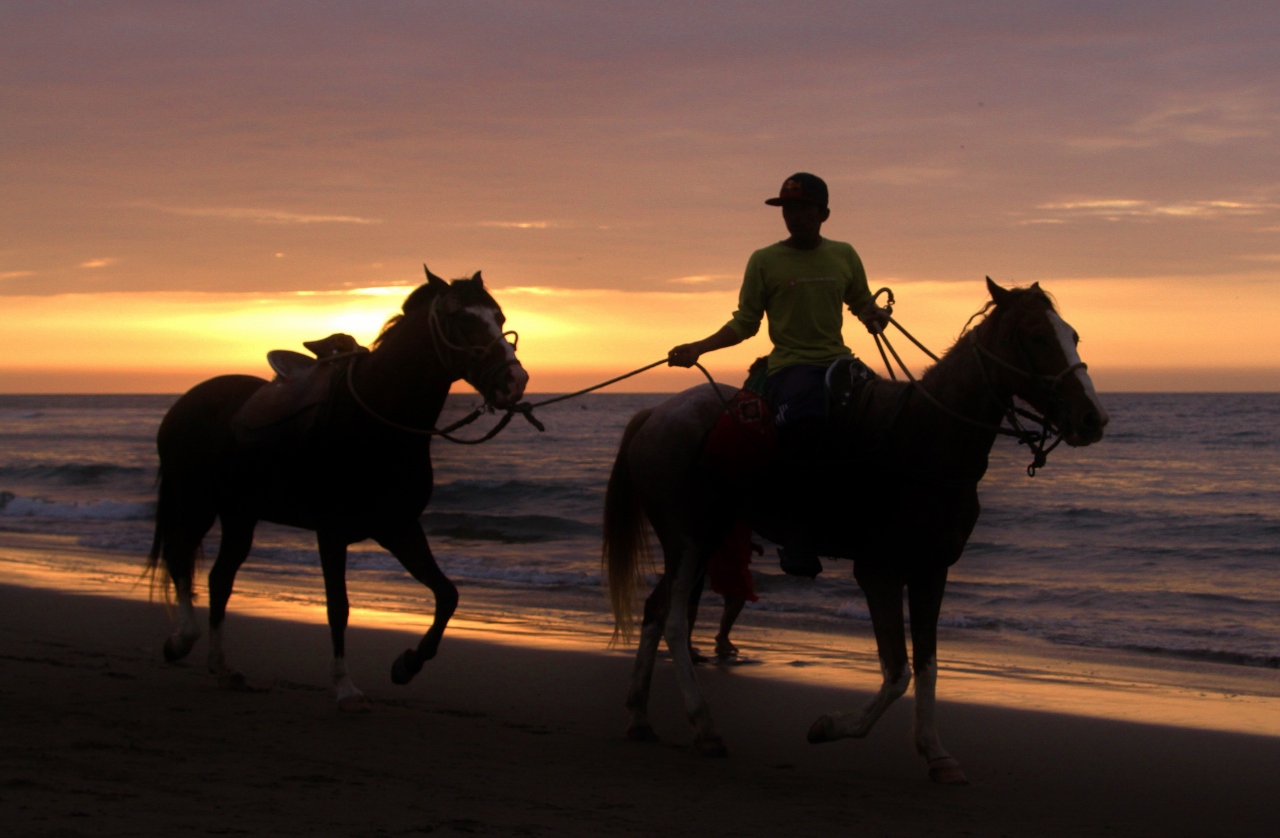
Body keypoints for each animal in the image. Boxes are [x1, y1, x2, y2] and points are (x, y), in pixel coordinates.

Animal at [147, 272, 527, 711]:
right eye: (464, 318)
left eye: (500, 318)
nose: (515, 380)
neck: (377, 420)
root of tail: (184, 403)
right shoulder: (332, 532)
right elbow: (339, 607)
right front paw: (345, 686)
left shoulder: (398, 527)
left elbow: (447, 594)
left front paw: (407, 664)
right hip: (196, 502)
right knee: (180, 557)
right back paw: (181, 641)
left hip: (239, 515)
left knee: (220, 579)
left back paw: (224, 668)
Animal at [604, 278, 1105, 782]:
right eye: (1037, 337)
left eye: (1074, 336)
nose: (1092, 419)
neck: (926, 438)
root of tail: (656, 413)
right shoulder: (878, 571)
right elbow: (897, 672)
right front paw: (830, 726)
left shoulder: (932, 570)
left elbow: (927, 664)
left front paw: (935, 752)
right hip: (689, 537)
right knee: (672, 619)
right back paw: (704, 727)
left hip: (702, 539)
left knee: (655, 609)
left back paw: (640, 716)